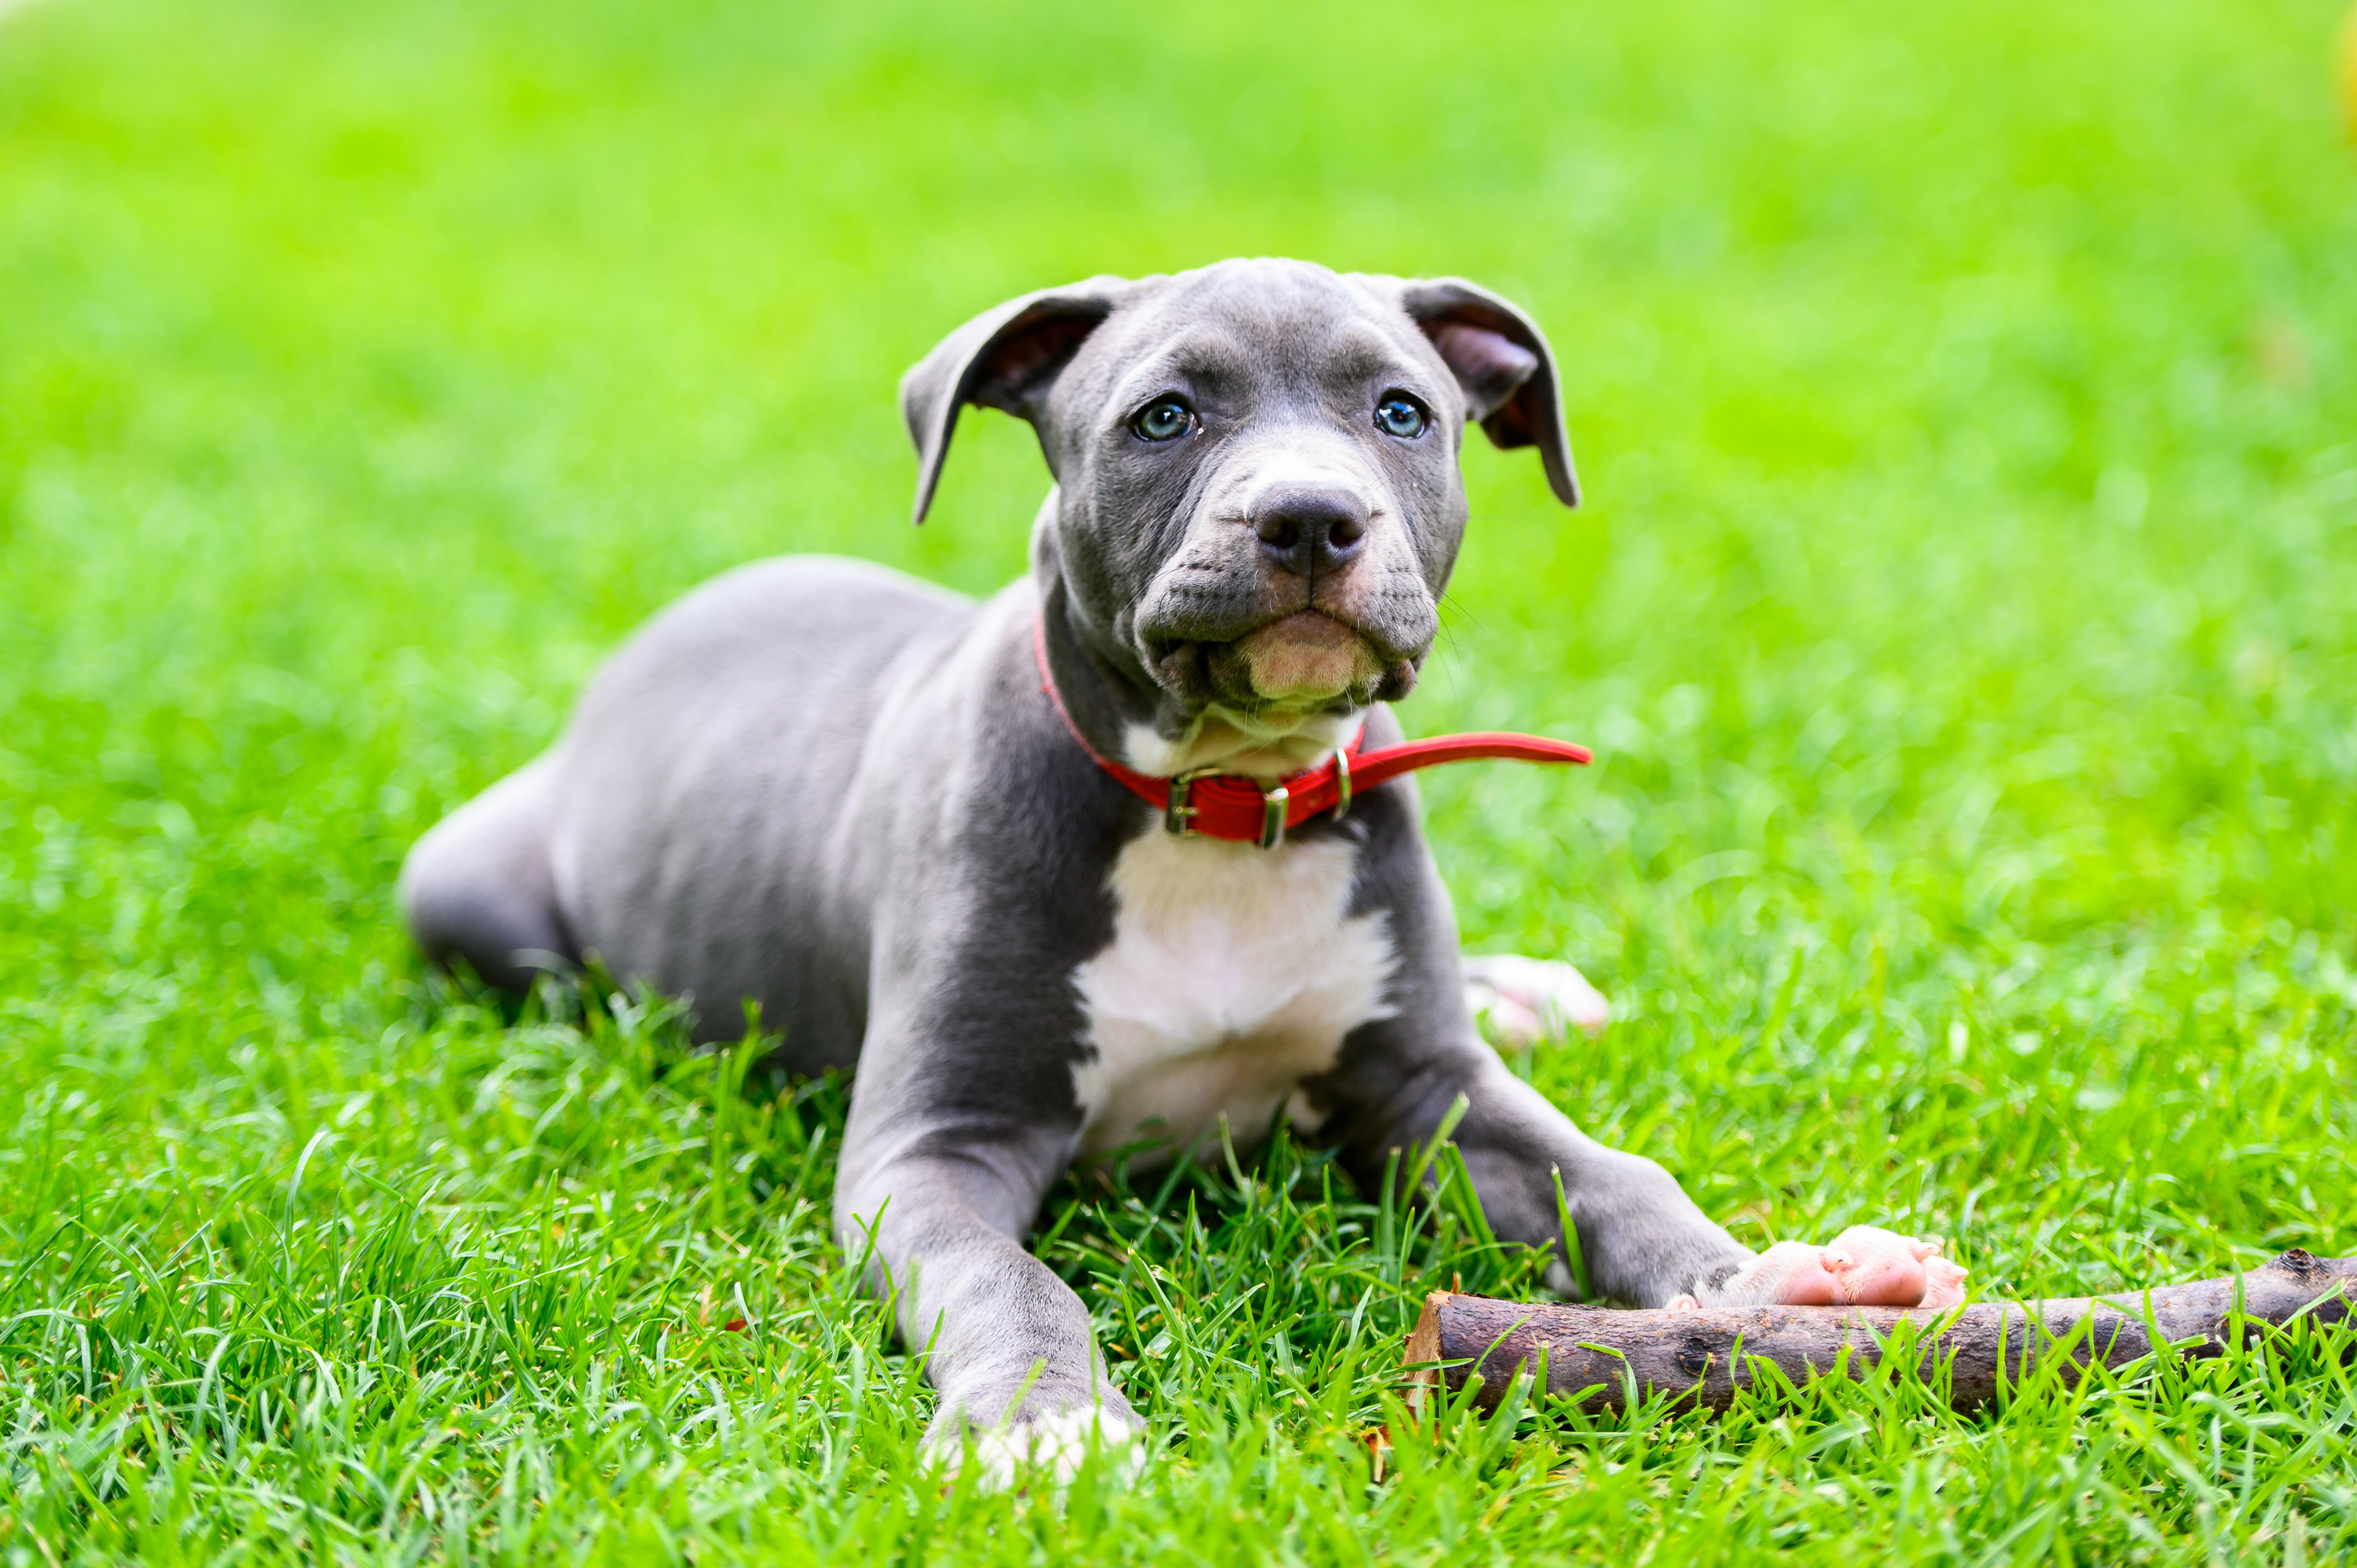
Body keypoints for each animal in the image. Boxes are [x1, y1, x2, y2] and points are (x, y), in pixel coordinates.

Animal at [405, 257, 1970, 1480]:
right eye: (1164, 416)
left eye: (1402, 412)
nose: (1312, 520)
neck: (1224, 805)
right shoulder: (932, 1151)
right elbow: (1009, 1276)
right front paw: (1041, 1428)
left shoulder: (1429, 1087)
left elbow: (1606, 1172)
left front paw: (1784, 1282)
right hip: (461, 889)